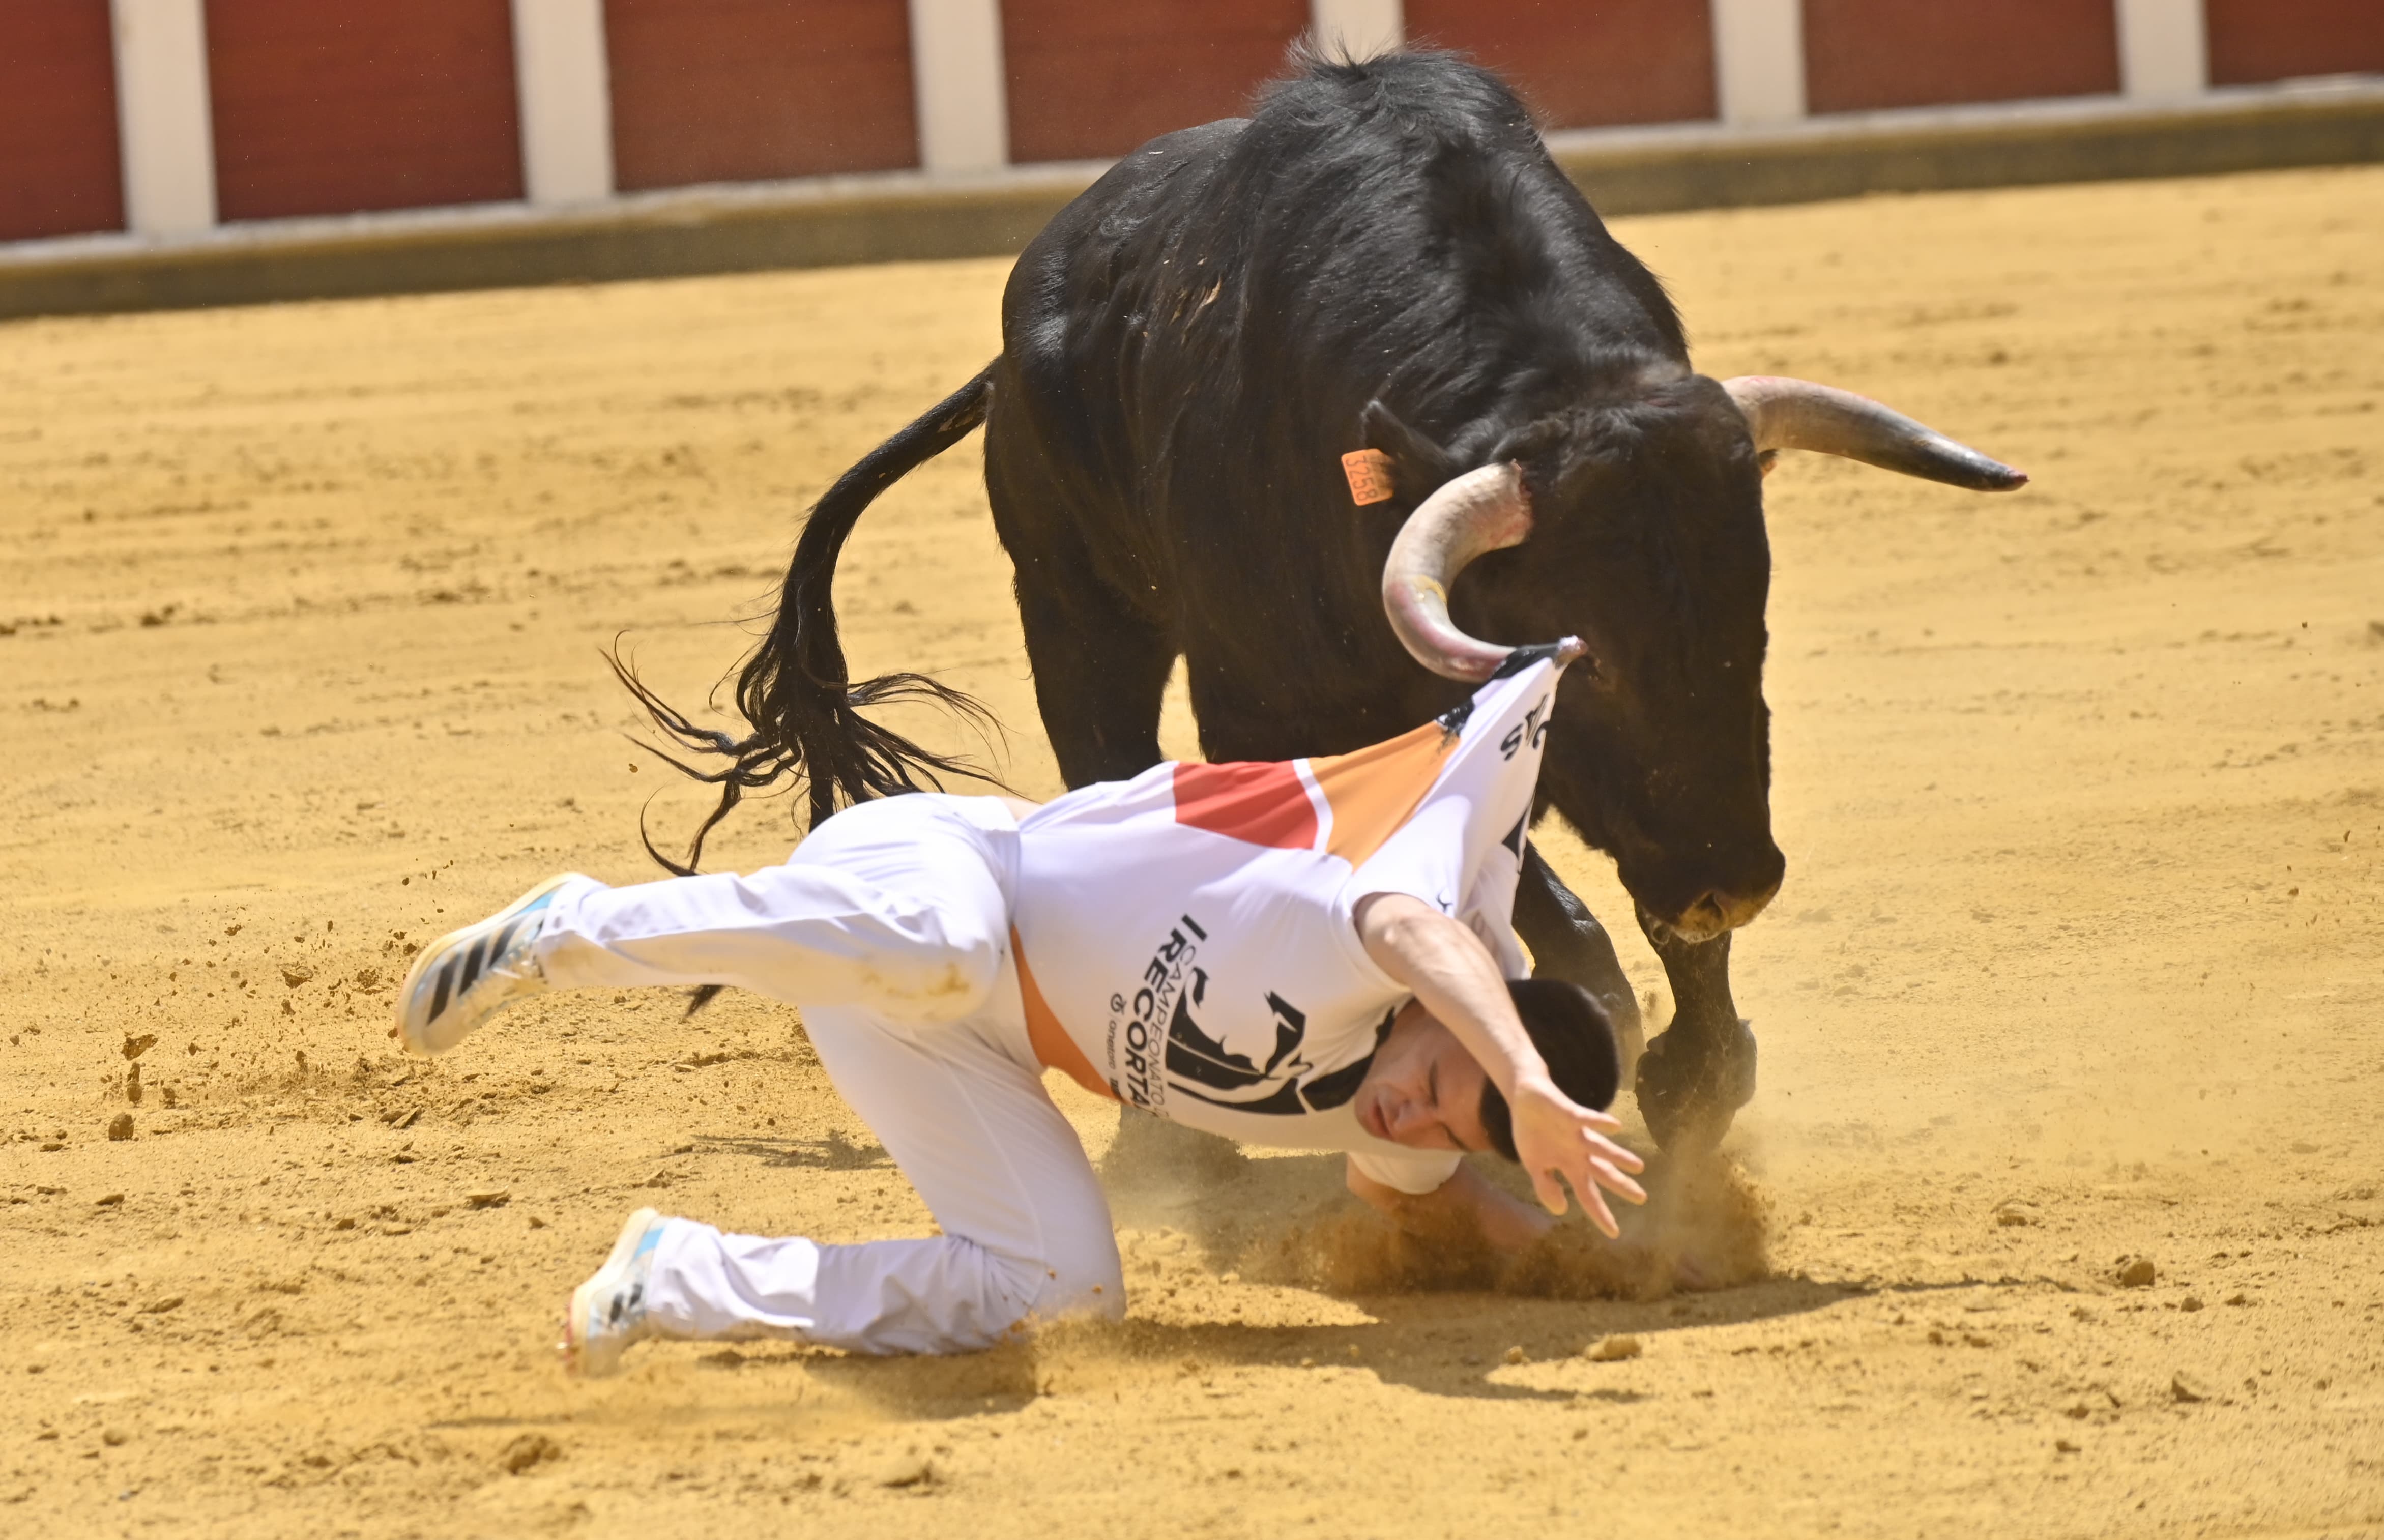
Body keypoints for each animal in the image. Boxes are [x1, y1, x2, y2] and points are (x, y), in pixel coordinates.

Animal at [624, 54, 2021, 1153]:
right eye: (1592, 661)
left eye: (1750, 630)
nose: (1727, 881)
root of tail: (1014, 346)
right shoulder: (1284, 715)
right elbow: (1535, 921)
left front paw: (1688, 1082)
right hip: (1077, 618)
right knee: (1110, 766)